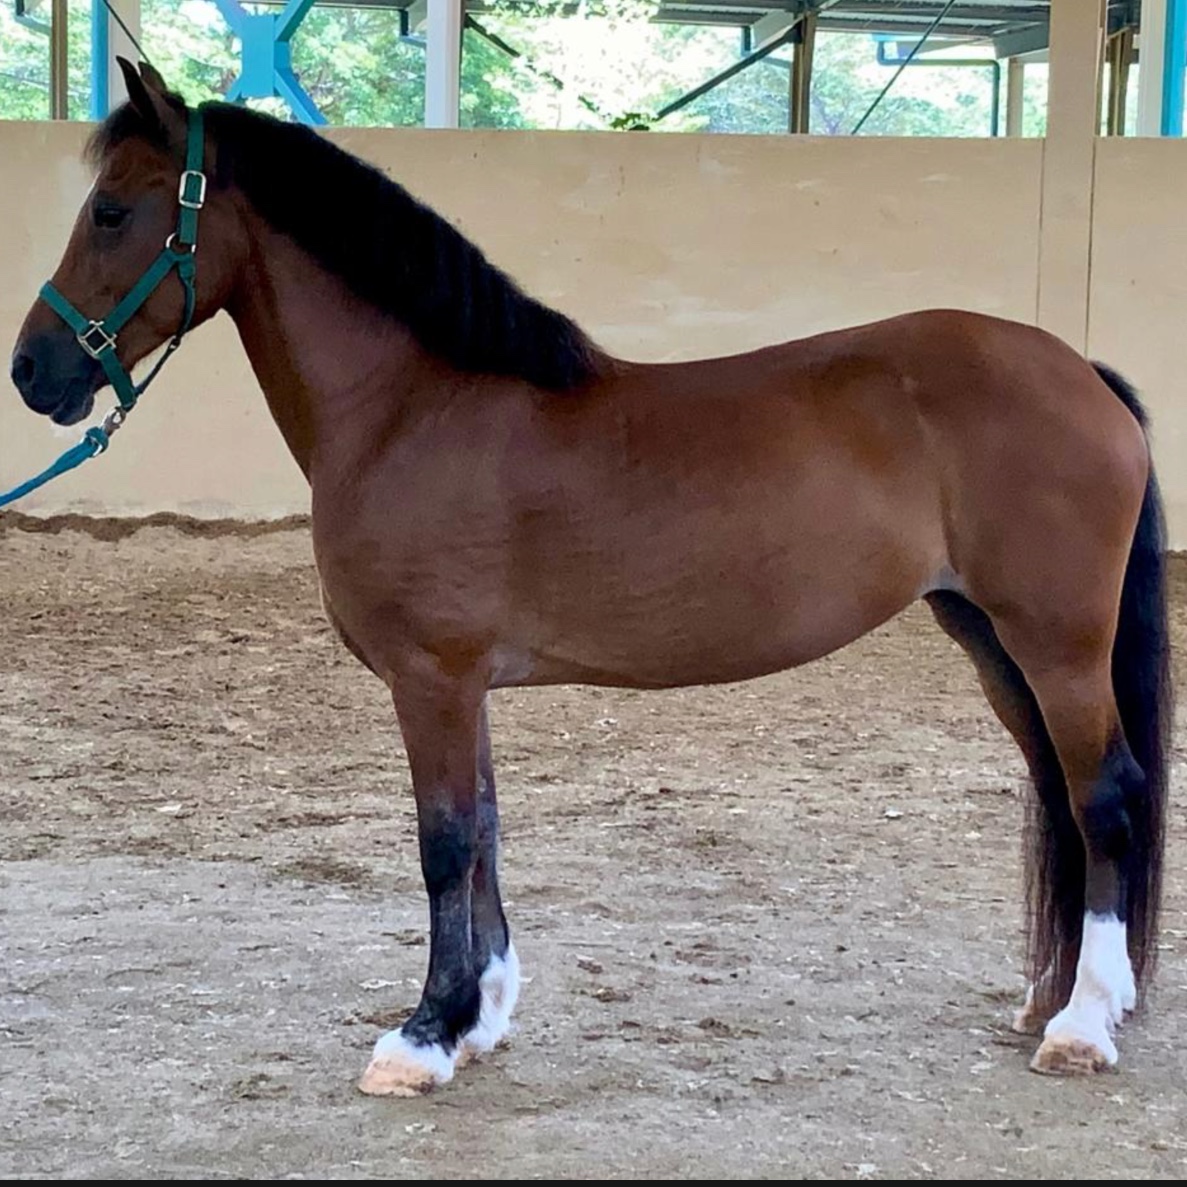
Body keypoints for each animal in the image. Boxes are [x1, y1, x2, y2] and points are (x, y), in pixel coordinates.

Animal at [10, 61, 1170, 1094]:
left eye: (112, 211)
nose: (33, 371)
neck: (410, 406)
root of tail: (1080, 373)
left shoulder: (429, 676)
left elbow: (443, 843)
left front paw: (423, 1036)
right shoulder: (458, 682)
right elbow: (483, 830)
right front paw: (479, 1016)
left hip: (1055, 642)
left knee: (1105, 795)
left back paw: (1080, 1025)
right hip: (989, 638)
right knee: (1062, 796)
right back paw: (1052, 996)